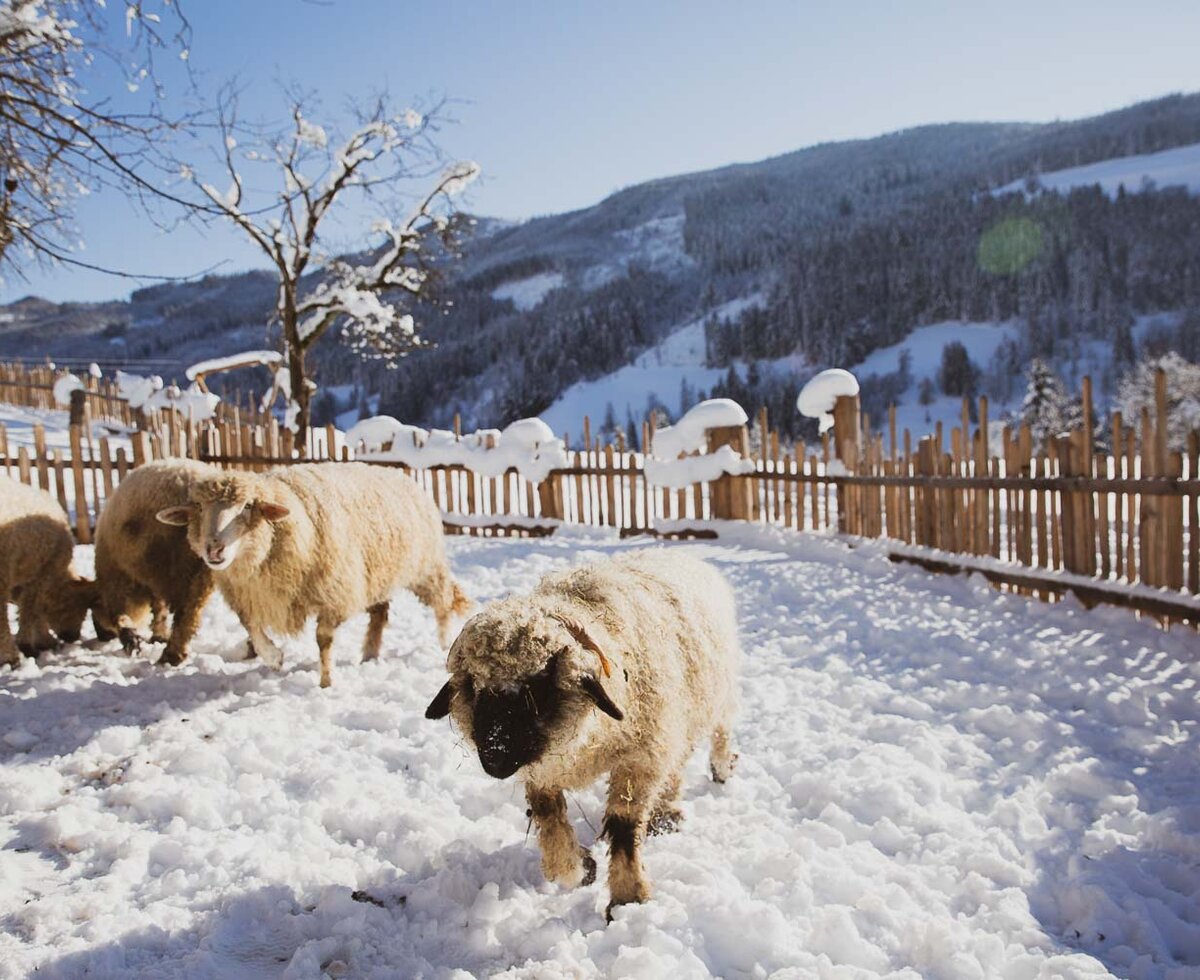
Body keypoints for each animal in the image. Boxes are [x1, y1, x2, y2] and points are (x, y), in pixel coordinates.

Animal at [94, 460, 232, 666]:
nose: (101, 636)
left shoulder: (117, 574)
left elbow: (120, 615)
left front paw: (132, 640)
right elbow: (159, 608)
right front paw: (156, 637)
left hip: (168, 566)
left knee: (184, 612)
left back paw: (169, 654)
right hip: (201, 569)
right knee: (190, 611)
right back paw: (175, 652)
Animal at [158, 460, 472, 686]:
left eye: (247, 506)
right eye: (199, 508)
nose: (214, 548)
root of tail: (399, 474)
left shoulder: (333, 591)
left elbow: (323, 640)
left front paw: (326, 681)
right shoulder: (248, 598)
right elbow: (252, 629)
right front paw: (274, 657)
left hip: (424, 568)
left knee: (442, 602)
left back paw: (443, 643)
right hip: (377, 574)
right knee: (380, 614)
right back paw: (369, 654)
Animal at [422, 551, 739, 916]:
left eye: (538, 688)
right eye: (474, 688)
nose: (495, 758)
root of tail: (678, 553)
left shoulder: (640, 757)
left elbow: (623, 825)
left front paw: (628, 898)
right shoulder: (545, 768)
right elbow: (550, 821)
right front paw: (580, 868)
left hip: (716, 696)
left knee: (721, 730)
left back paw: (719, 769)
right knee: (676, 762)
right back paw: (666, 813)